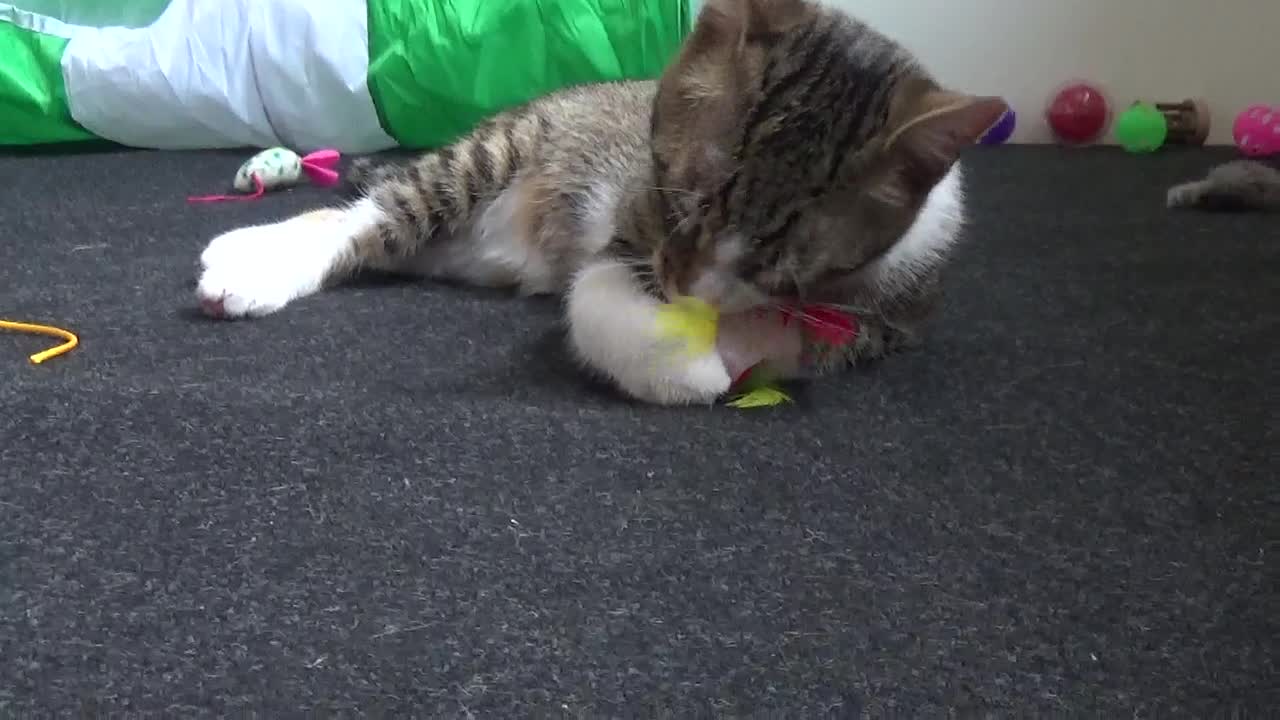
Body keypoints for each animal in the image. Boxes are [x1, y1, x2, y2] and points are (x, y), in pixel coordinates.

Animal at [194, 0, 1003, 404]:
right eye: (677, 198)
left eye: (779, 257)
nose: (687, 289)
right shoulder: (633, 228)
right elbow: (600, 295)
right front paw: (689, 367)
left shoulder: (901, 309)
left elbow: (822, 336)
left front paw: (756, 341)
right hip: (504, 146)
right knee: (375, 211)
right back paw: (256, 259)